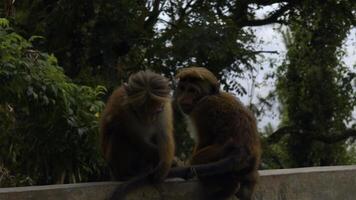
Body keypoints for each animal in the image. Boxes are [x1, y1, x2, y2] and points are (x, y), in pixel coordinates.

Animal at [99, 70, 175, 198]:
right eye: (139, 110)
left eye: (156, 111)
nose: (148, 120)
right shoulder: (122, 108)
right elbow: (136, 137)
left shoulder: (165, 109)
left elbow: (164, 134)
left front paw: (164, 167)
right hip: (114, 167)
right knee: (118, 132)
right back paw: (126, 174)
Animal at [175, 67, 262, 200]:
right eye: (182, 88)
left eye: (192, 91)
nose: (184, 98)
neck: (211, 95)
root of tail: (242, 153)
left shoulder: (202, 108)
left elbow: (203, 141)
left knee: (198, 161)